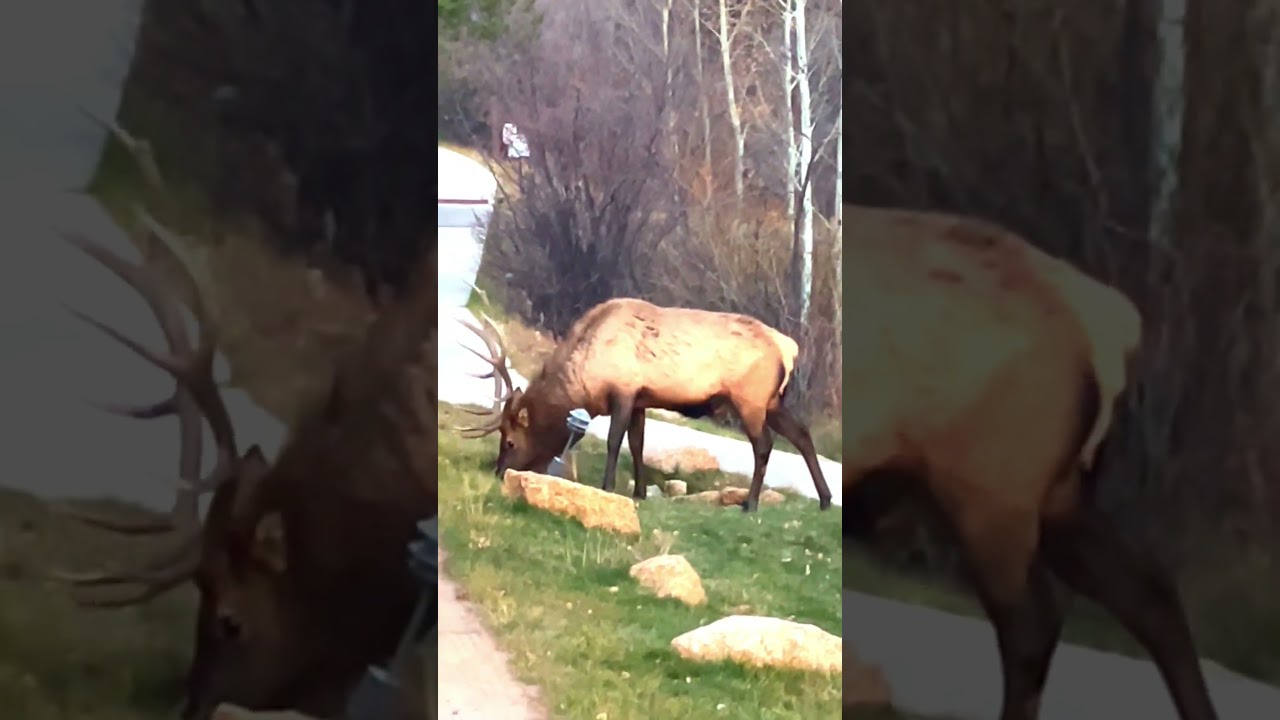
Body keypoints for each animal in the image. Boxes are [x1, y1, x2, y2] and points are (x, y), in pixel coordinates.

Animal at [456, 298, 833, 512]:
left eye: (510, 441)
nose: (499, 471)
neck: (585, 378)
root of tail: (789, 348)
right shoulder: (640, 399)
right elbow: (637, 444)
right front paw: (639, 492)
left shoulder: (623, 390)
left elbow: (615, 441)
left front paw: (608, 486)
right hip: (772, 400)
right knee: (801, 434)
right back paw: (826, 499)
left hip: (750, 399)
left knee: (765, 445)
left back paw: (751, 503)